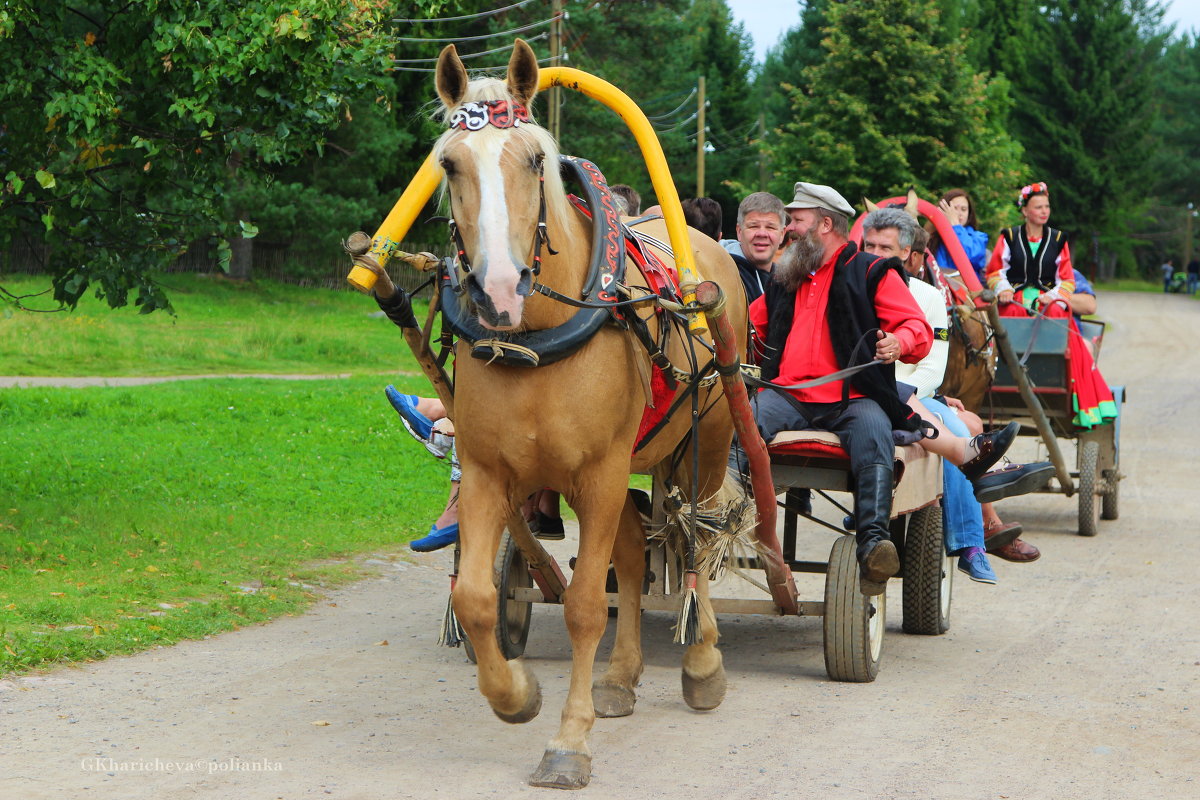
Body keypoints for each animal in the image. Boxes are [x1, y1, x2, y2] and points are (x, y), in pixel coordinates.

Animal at [434, 40, 748, 786]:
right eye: (450, 164)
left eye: (532, 161)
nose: (497, 290)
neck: (533, 339)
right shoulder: (490, 474)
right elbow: (476, 598)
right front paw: (516, 695)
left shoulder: (601, 474)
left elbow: (582, 606)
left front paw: (568, 741)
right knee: (633, 555)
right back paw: (622, 675)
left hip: (705, 444)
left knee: (699, 536)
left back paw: (702, 661)